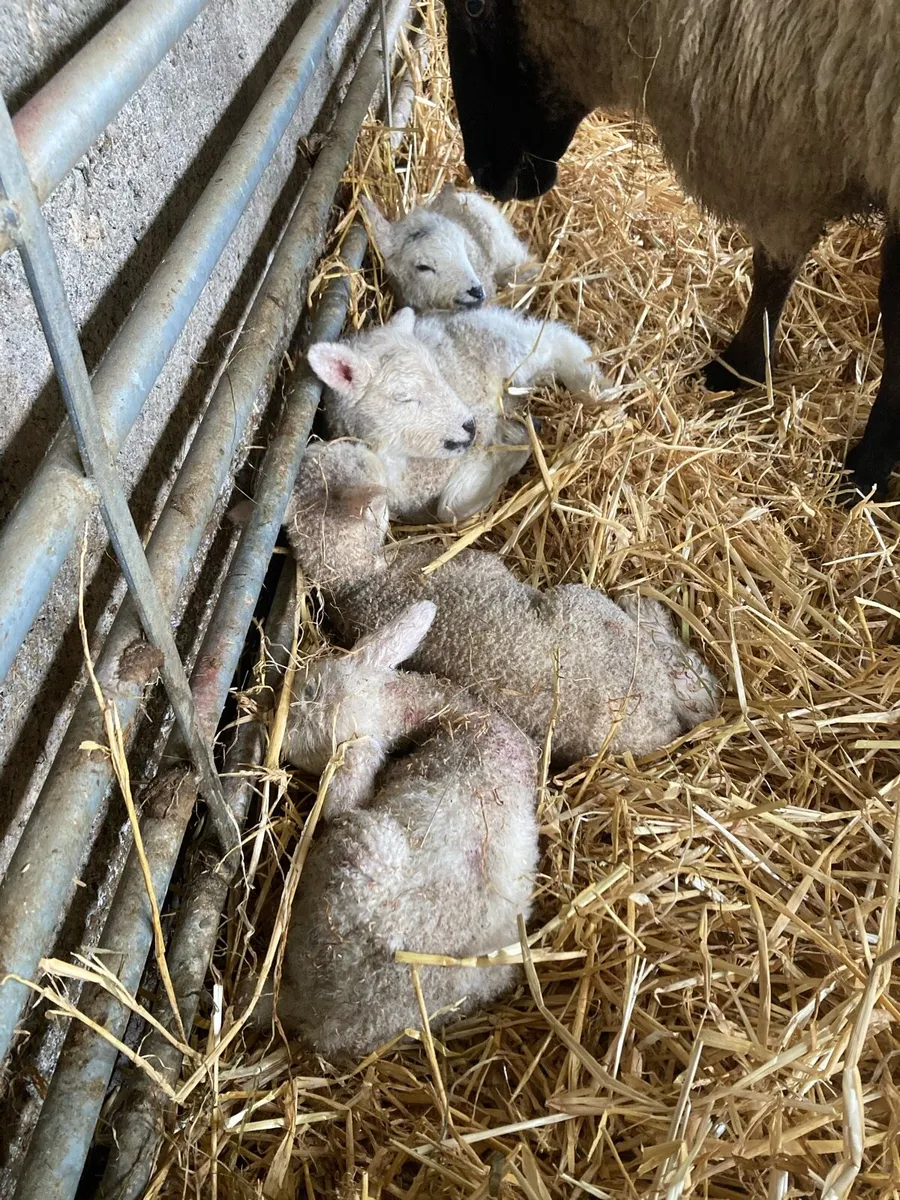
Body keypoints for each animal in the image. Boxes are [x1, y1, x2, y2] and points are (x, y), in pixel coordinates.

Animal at [284, 440, 721, 764]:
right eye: (358, 460)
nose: (357, 443)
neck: (360, 581)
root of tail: (660, 725)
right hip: (590, 609)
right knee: (680, 670)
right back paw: (649, 615)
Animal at [308, 304, 609, 523]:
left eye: (439, 373)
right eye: (404, 397)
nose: (469, 426)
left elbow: (449, 508)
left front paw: (518, 444)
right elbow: (448, 509)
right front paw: (517, 439)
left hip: (503, 348)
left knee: (554, 340)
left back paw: (596, 389)